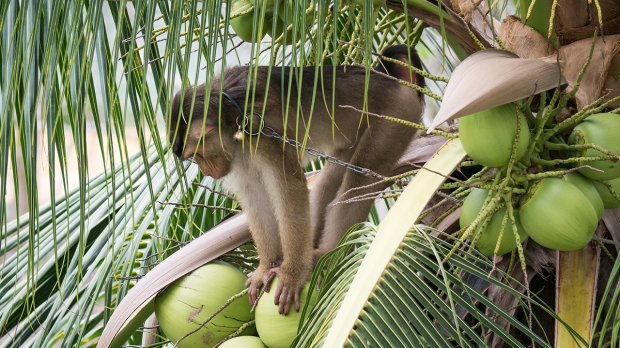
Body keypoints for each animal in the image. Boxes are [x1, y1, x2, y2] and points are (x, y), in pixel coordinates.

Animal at [167, 44, 424, 316]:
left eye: (196, 157)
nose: (206, 171)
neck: (228, 112)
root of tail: (390, 80)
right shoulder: (239, 151)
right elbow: (255, 196)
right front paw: (266, 267)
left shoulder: (262, 133)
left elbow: (290, 191)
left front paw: (292, 275)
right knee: (331, 179)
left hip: (396, 117)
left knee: (360, 177)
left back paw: (328, 252)